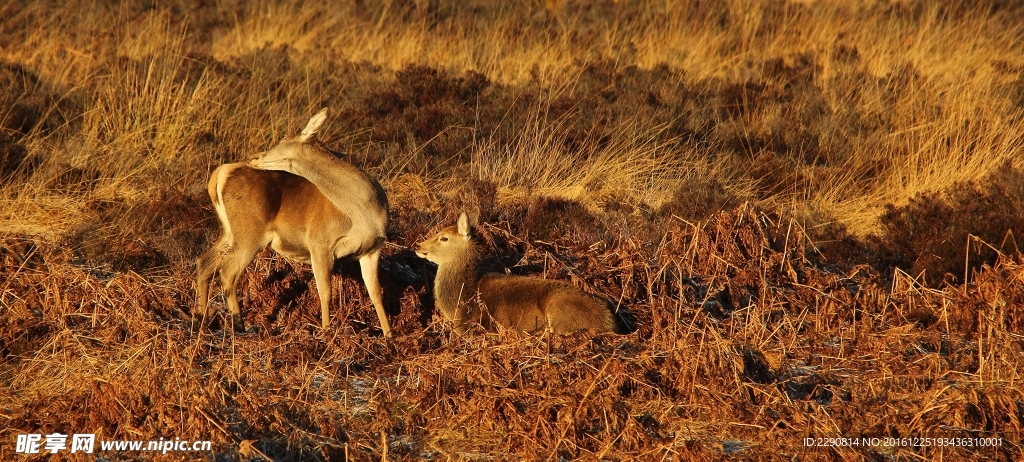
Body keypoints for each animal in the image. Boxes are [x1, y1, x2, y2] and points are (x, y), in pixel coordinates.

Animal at [195, 108, 393, 337]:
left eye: (283, 136)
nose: (254, 157)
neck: (365, 213)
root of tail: (221, 173)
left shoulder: (373, 249)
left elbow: (376, 293)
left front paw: (389, 335)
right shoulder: (319, 242)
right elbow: (325, 291)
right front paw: (325, 331)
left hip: (230, 231)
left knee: (205, 261)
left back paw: (201, 321)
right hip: (249, 233)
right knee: (227, 272)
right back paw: (239, 326)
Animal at [415, 211, 619, 336]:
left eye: (444, 238)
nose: (418, 246)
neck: (462, 298)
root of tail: (609, 322)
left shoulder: (471, 326)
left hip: (560, 311)